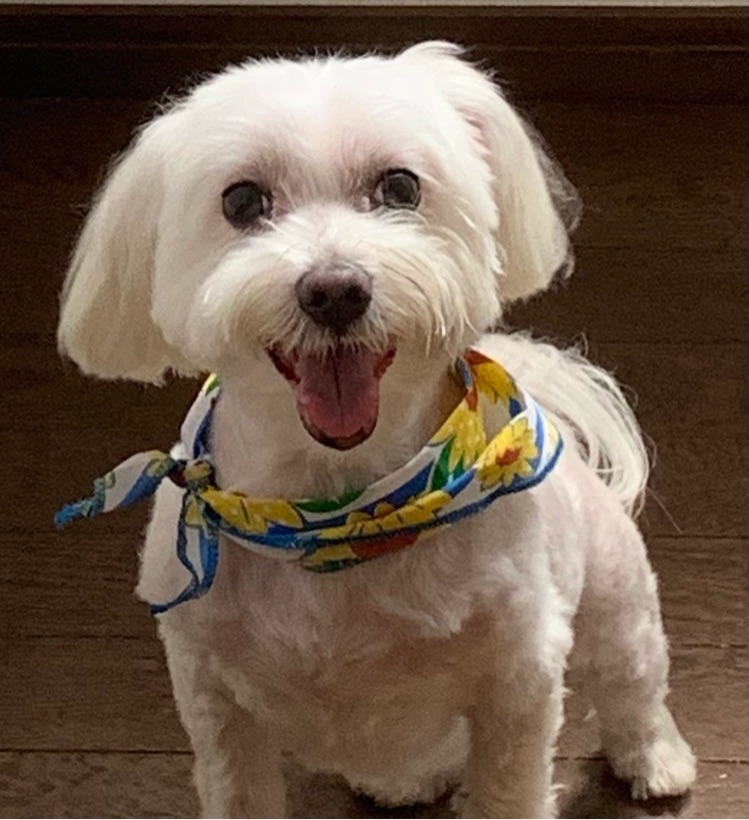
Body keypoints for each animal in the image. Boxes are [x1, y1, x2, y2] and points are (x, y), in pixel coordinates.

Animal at [57, 42, 696, 818]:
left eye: (399, 187)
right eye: (241, 201)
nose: (335, 290)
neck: (338, 509)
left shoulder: (518, 681)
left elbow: (507, 789)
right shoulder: (218, 709)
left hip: (615, 597)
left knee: (633, 683)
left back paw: (655, 760)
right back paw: (404, 780)